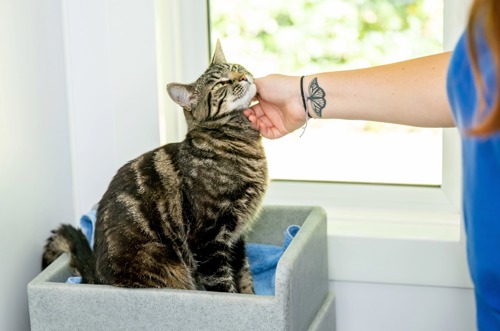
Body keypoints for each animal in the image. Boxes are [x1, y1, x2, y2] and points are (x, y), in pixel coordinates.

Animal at [42, 40, 270, 294]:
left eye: (236, 67)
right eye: (222, 83)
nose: (243, 77)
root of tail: (97, 279)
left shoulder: (237, 237)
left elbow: (243, 276)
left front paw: (251, 295)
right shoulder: (208, 239)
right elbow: (222, 285)